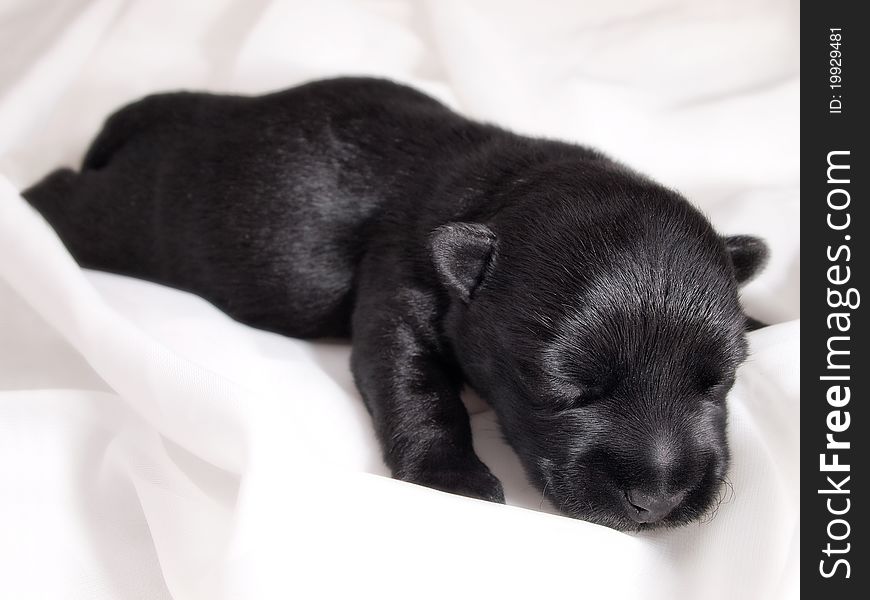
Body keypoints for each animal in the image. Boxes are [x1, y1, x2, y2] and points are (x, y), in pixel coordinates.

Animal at [23, 76, 768, 528]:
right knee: (70, 196)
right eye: (567, 390)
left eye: (720, 384)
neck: (506, 189)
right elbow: (418, 388)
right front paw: (454, 477)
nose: (659, 499)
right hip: (137, 217)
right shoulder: (400, 288)